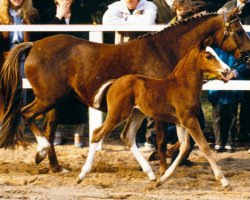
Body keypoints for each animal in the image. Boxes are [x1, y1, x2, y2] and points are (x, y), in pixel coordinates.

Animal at [77, 41, 229, 188]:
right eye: (208, 56)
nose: (227, 70)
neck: (183, 86)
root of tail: (114, 82)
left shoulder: (181, 123)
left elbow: (184, 147)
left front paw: (162, 179)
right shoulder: (190, 120)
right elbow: (204, 146)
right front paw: (223, 180)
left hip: (137, 114)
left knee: (127, 136)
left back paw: (151, 175)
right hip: (118, 114)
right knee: (97, 133)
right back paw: (82, 175)